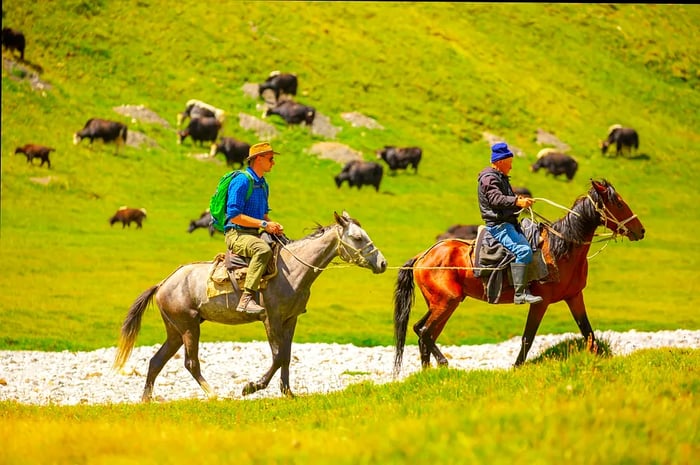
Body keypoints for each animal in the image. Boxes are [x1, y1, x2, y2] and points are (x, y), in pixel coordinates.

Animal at [115, 212, 388, 400]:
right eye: (357, 237)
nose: (383, 263)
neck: (292, 269)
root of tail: (163, 283)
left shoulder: (291, 320)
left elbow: (287, 356)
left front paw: (288, 392)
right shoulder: (271, 319)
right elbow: (278, 356)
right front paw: (252, 387)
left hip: (175, 331)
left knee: (156, 361)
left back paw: (146, 399)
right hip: (190, 328)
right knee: (190, 363)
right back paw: (214, 395)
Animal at [394, 179, 644, 376]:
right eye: (618, 203)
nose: (641, 231)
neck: (560, 248)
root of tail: (422, 256)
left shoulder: (574, 296)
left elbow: (588, 332)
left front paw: (601, 360)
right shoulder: (540, 302)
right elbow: (528, 338)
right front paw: (516, 367)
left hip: (443, 304)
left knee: (420, 330)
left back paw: (429, 372)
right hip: (447, 302)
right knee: (425, 333)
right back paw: (442, 364)